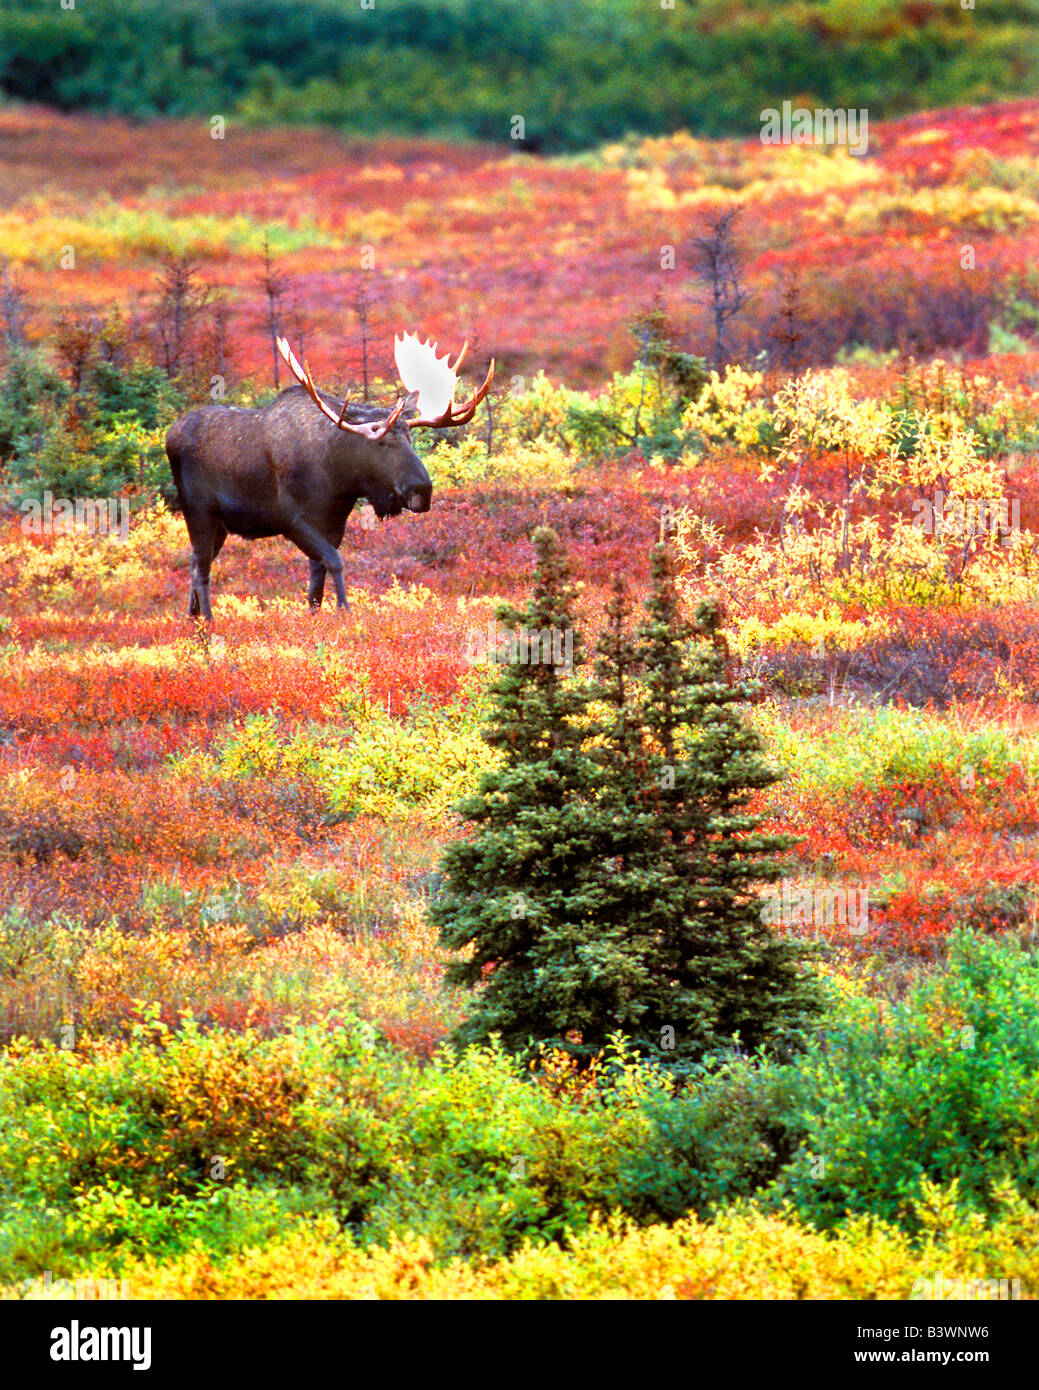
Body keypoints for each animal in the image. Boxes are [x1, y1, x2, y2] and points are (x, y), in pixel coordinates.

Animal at [165, 333, 495, 617]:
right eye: (382, 442)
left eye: (411, 439)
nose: (422, 491)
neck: (339, 482)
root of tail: (170, 434)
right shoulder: (292, 520)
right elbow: (334, 562)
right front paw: (344, 608)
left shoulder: (334, 524)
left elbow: (317, 576)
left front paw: (317, 614)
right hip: (199, 512)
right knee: (202, 568)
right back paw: (207, 620)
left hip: (219, 525)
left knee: (195, 561)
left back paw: (192, 617)